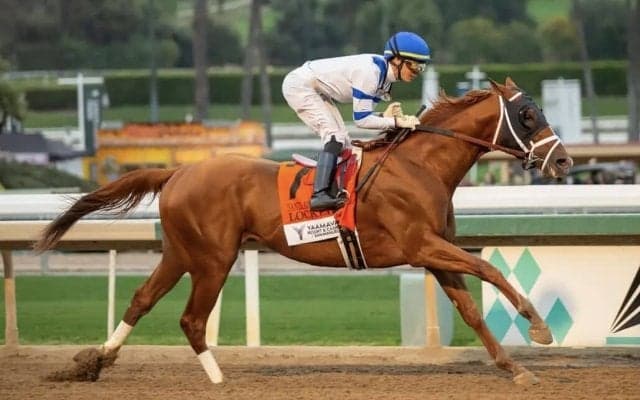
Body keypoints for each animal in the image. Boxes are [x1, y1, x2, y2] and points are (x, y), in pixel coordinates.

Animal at [35, 77, 573, 385]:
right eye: (528, 115)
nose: (564, 161)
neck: (421, 166)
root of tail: (178, 171)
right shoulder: (424, 245)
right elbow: (488, 269)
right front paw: (538, 326)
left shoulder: (433, 252)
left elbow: (470, 308)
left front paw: (515, 368)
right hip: (213, 258)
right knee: (191, 319)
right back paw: (218, 380)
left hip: (181, 253)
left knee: (141, 300)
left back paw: (94, 363)